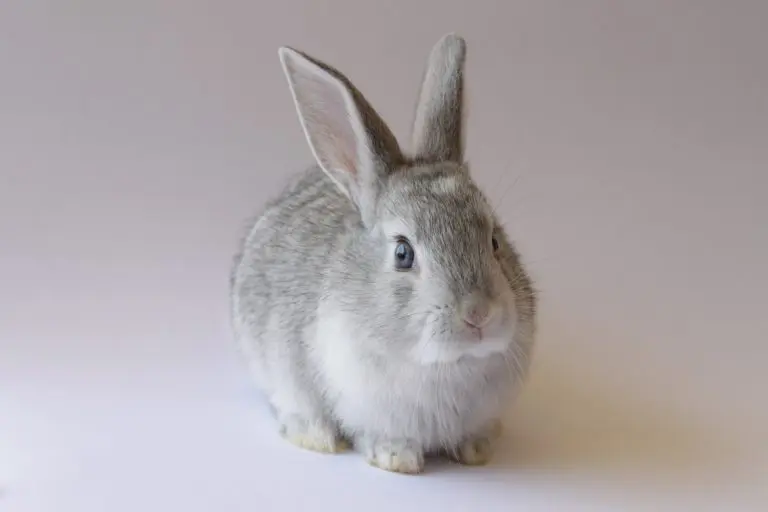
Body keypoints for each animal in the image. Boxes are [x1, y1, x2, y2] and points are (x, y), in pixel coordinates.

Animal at [230, 33, 536, 474]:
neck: (446, 363)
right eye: (403, 253)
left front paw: (478, 449)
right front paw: (397, 458)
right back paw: (316, 436)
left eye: (494, 240)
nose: (478, 313)